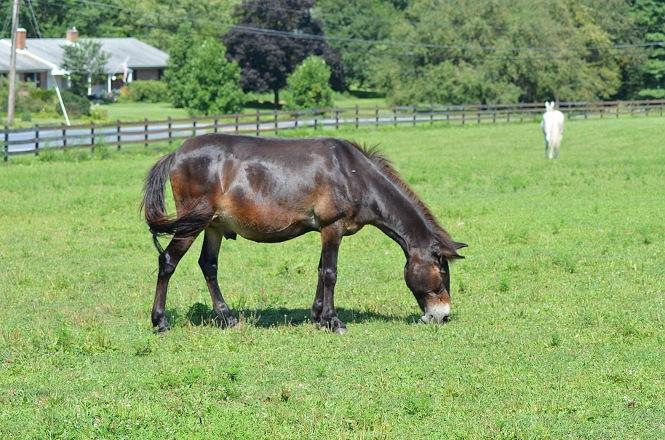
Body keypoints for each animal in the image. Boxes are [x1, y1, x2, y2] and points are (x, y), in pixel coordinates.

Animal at [141, 134, 466, 334]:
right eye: (442, 272)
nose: (443, 315)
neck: (353, 174)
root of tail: (176, 153)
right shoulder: (332, 227)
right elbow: (331, 273)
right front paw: (334, 322)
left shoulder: (326, 230)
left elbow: (321, 270)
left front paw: (318, 316)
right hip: (192, 225)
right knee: (168, 262)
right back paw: (160, 321)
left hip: (214, 227)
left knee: (208, 266)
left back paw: (227, 317)